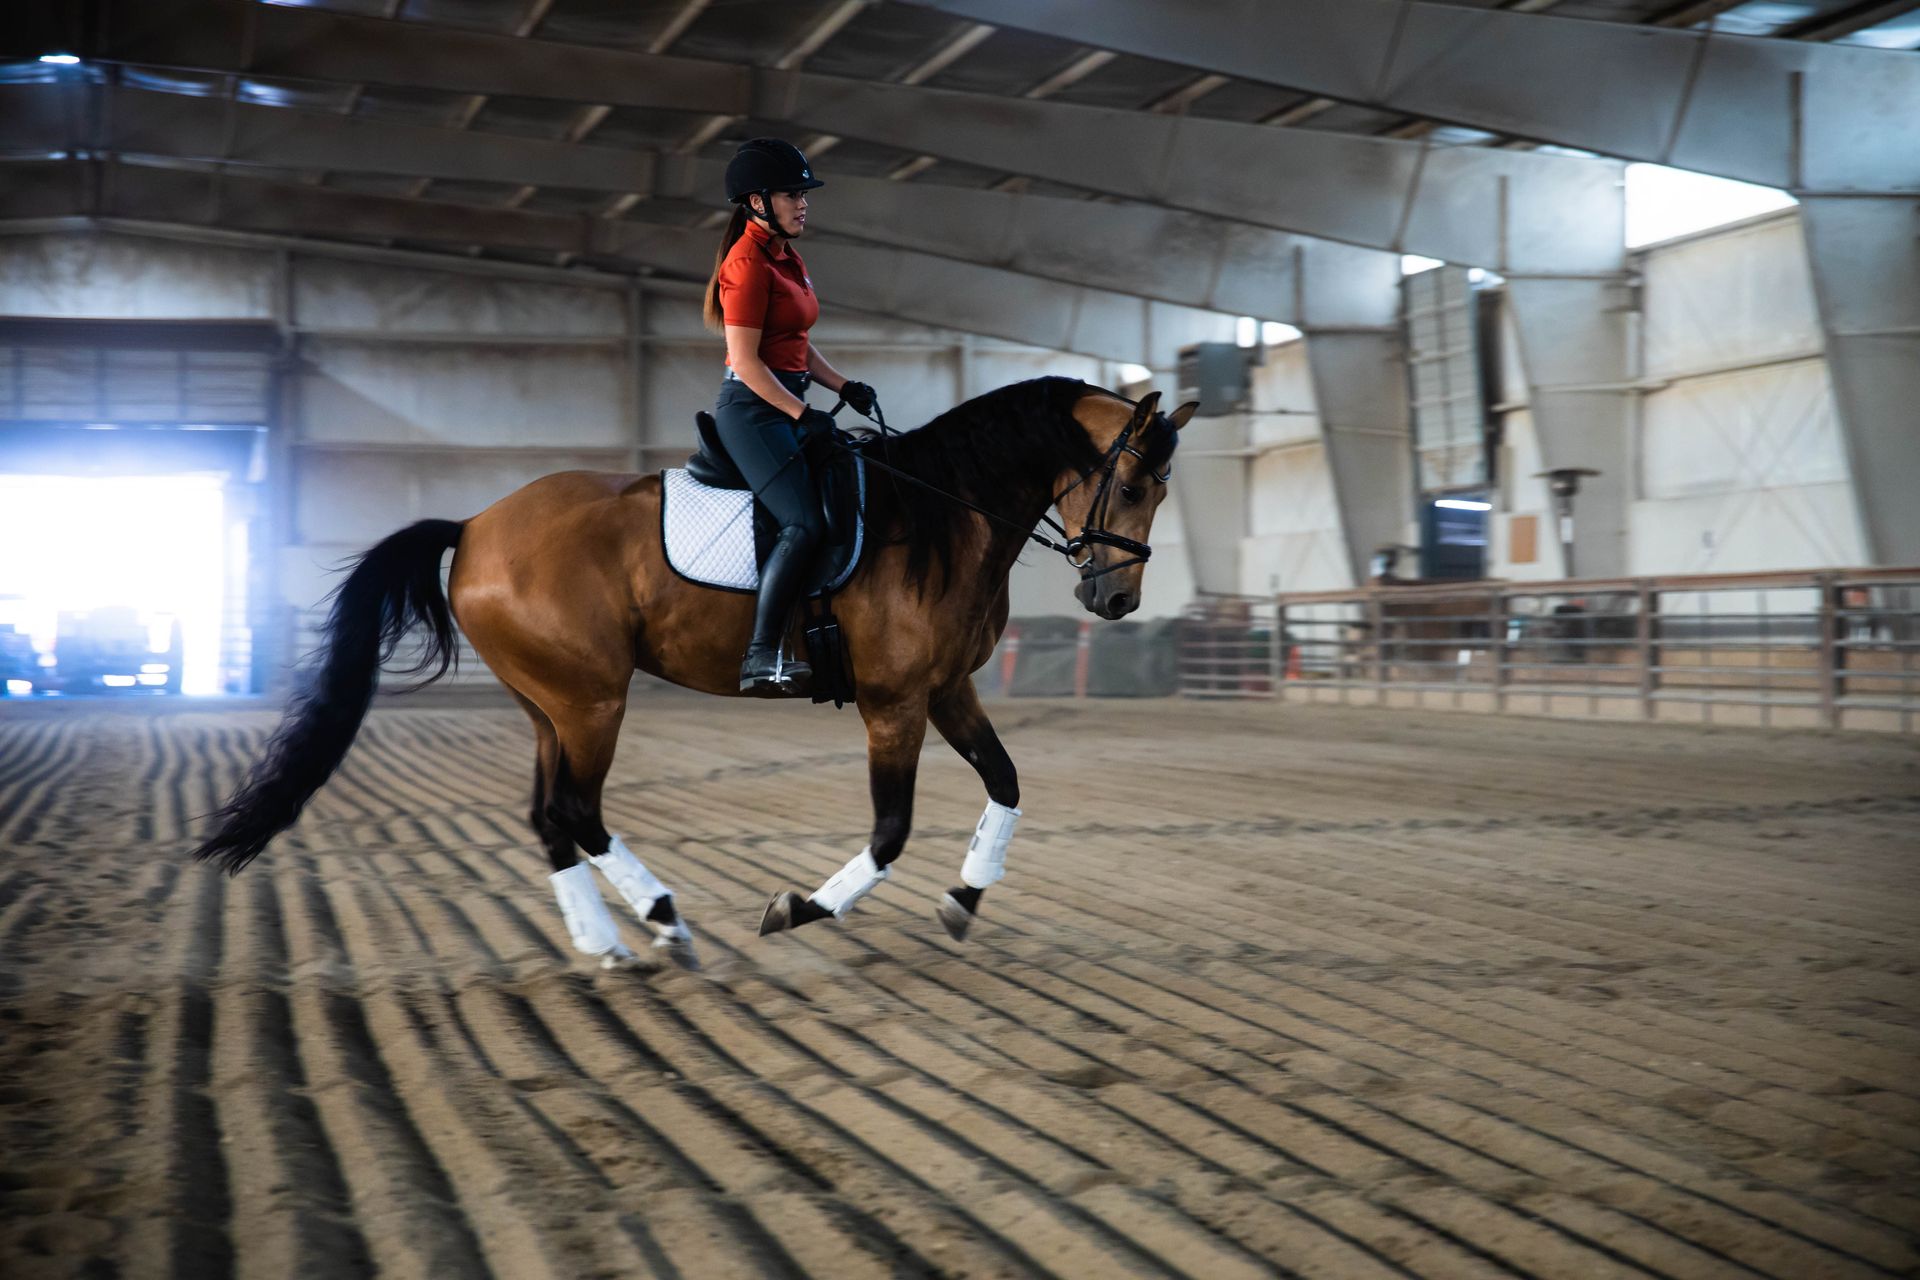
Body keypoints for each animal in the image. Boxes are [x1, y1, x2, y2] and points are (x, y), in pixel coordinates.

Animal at [191, 377, 1196, 970]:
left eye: (1160, 493)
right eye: (1131, 486)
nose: (1115, 599)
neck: (942, 512)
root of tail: (474, 526)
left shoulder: (947, 689)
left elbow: (1008, 783)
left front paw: (962, 899)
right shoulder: (894, 704)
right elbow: (890, 831)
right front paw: (798, 908)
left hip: (548, 705)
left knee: (548, 817)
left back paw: (605, 942)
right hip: (592, 700)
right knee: (576, 811)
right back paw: (665, 919)